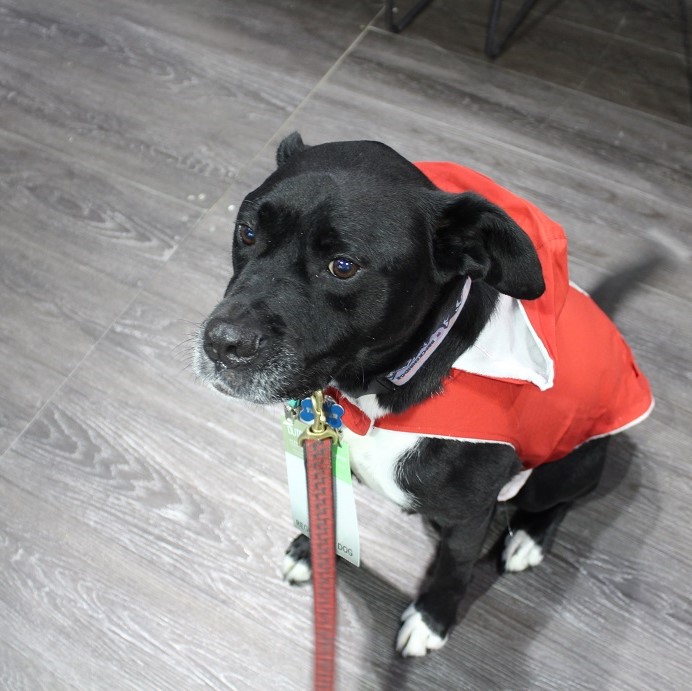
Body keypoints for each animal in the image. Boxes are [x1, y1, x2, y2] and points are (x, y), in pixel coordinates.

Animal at [193, 135, 656, 660]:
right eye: (247, 232)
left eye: (343, 266)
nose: (222, 343)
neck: (373, 394)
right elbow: (325, 507)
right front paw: (314, 551)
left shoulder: (471, 514)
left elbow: (455, 568)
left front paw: (432, 619)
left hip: (564, 467)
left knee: (560, 501)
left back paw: (528, 538)